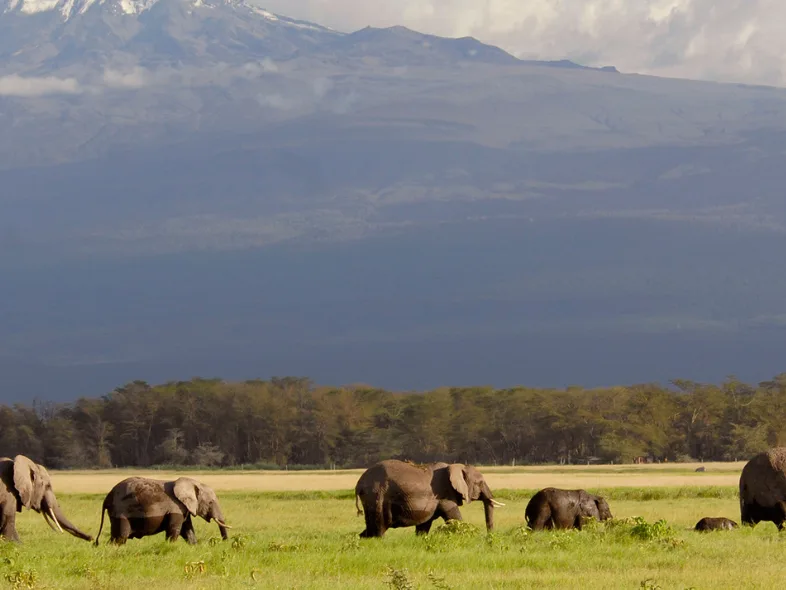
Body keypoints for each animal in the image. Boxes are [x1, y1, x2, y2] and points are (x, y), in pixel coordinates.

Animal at [94, 476, 231, 545]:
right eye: (210, 502)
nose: (225, 544)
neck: (191, 482)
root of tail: (108, 497)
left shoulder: (184, 508)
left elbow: (188, 531)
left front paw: (194, 546)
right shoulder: (176, 508)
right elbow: (174, 531)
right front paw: (170, 547)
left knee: (115, 537)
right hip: (121, 511)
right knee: (121, 537)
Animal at [354, 459, 504, 538]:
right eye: (480, 483)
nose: (489, 537)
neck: (456, 466)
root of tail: (359, 484)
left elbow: (424, 524)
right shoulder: (444, 495)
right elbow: (454, 516)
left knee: (371, 527)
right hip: (377, 495)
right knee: (380, 526)